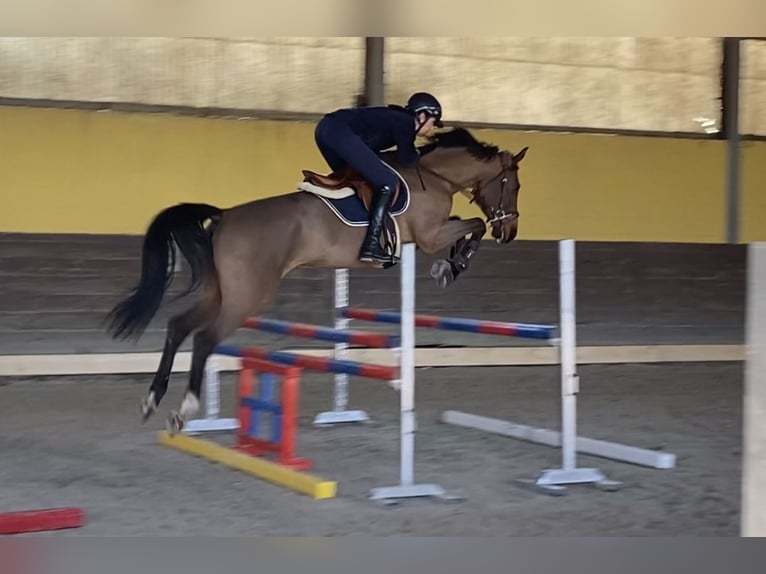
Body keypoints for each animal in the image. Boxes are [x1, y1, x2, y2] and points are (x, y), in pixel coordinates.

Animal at [105, 127, 528, 433]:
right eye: (514, 185)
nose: (510, 233)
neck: (436, 177)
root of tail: (224, 215)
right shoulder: (429, 236)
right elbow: (472, 226)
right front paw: (451, 267)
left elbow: (469, 226)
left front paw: (452, 264)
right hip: (248, 296)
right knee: (206, 337)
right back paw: (184, 409)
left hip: (220, 292)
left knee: (179, 327)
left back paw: (152, 400)